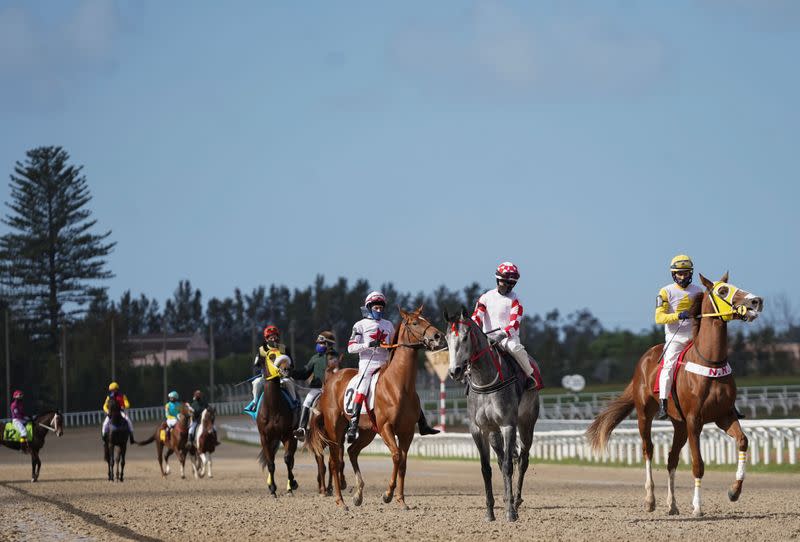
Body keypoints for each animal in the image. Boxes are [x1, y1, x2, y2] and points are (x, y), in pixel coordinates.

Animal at [256, 366, 300, 498]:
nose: (286, 370)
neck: (272, 406)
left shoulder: (288, 435)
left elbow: (287, 459)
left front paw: (292, 485)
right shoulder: (265, 437)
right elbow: (270, 463)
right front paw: (272, 489)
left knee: (291, 460)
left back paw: (291, 486)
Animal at [308, 308, 446, 512]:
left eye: (426, 319)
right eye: (414, 323)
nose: (439, 336)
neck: (399, 385)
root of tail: (332, 380)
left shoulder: (406, 432)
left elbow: (403, 462)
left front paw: (401, 500)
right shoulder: (386, 427)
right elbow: (396, 456)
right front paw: (387, 494)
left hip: (367, 432)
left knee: (352, 452)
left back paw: (358, 494)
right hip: (335, 429)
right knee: (334, 461)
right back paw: (340, 501)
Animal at [444, 308, 544, 524]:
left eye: (465, 337)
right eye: (446, 338)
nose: (455, 371)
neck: (485, 380)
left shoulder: (508, 424)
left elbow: (508, 466)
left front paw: (510, 513)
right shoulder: (479, 429)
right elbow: (486, 469)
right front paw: (489, 512)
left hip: (526, 423)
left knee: (522, 459)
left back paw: (516, 500)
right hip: (493, 432)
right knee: (501, 459)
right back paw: (507, 498)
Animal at [588, 274, 764, 520]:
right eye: (722, 290)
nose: (756, 301)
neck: (710, 361)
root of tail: (644, 360)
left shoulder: (724, 416)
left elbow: (743, 441)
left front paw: (734, 491)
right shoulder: (694, 421)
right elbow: (698, 464)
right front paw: (697, 507)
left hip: (678, 424)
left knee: (671, 458)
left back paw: (672, 505)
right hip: (645, 414)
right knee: (648, 450)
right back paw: (650, 500)